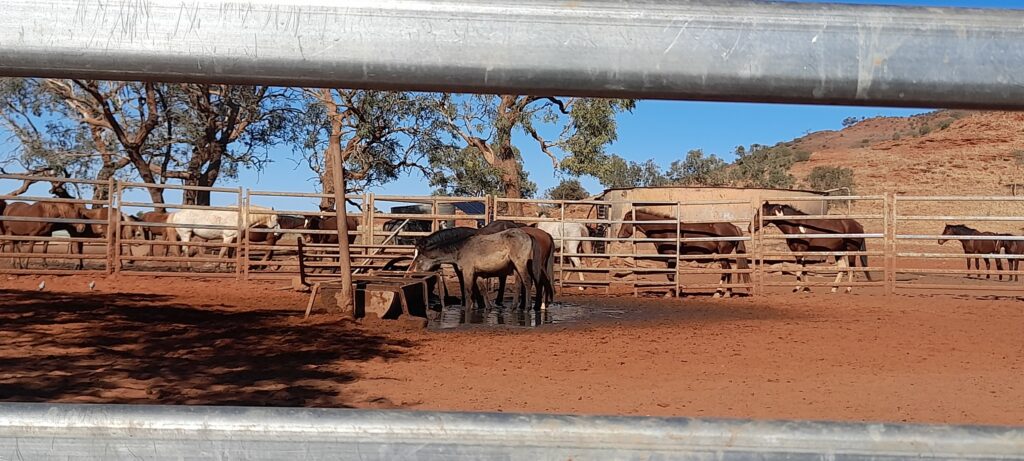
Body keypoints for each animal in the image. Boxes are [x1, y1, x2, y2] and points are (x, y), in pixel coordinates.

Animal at [618, 210, 751, 298]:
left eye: (626, 221)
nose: (620, 237)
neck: (664, 230)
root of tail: (733, 227)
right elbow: (671, 275)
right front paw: (677, 291)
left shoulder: (671, 257)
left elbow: (670, 275)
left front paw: (670, 293)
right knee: (728, 270)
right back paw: (727, 292)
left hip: (723, 254)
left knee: (725, 271)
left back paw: (718, 293)